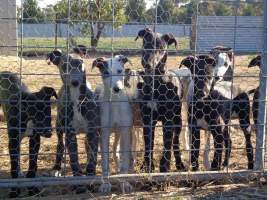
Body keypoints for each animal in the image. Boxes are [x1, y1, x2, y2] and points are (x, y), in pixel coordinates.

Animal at [46, 49, 100, 191]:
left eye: (80, 63)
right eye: (64, 66)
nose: (75, 82)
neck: (77, 99)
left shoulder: (93, 131)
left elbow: (92, 158)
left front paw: (90, 178)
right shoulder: (70, 133)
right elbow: (74, 158)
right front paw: (79, 184)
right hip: (59, 127)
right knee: (60, 145)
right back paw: (57, 168)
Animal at [92, 55, 134, 193]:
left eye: (120, 71)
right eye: (106, 73)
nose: (117, 89)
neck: (115, 102)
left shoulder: (125, 132)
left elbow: (125, 160)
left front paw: (125, 183)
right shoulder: (104, 134)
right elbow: (105, 162)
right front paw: (106, 184)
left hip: (119, 133)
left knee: (117, 150)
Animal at [136, 27, 186, 173]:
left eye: (161, 47)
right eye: (146, 43)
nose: (147, 64)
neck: (156, 84)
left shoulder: (168, 120)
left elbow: (167, 144)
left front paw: (164, 167)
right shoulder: (148, 119)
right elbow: (149, 144)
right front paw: (147, 166)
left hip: (178, 121)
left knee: (175, 142)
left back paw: (179, 164)